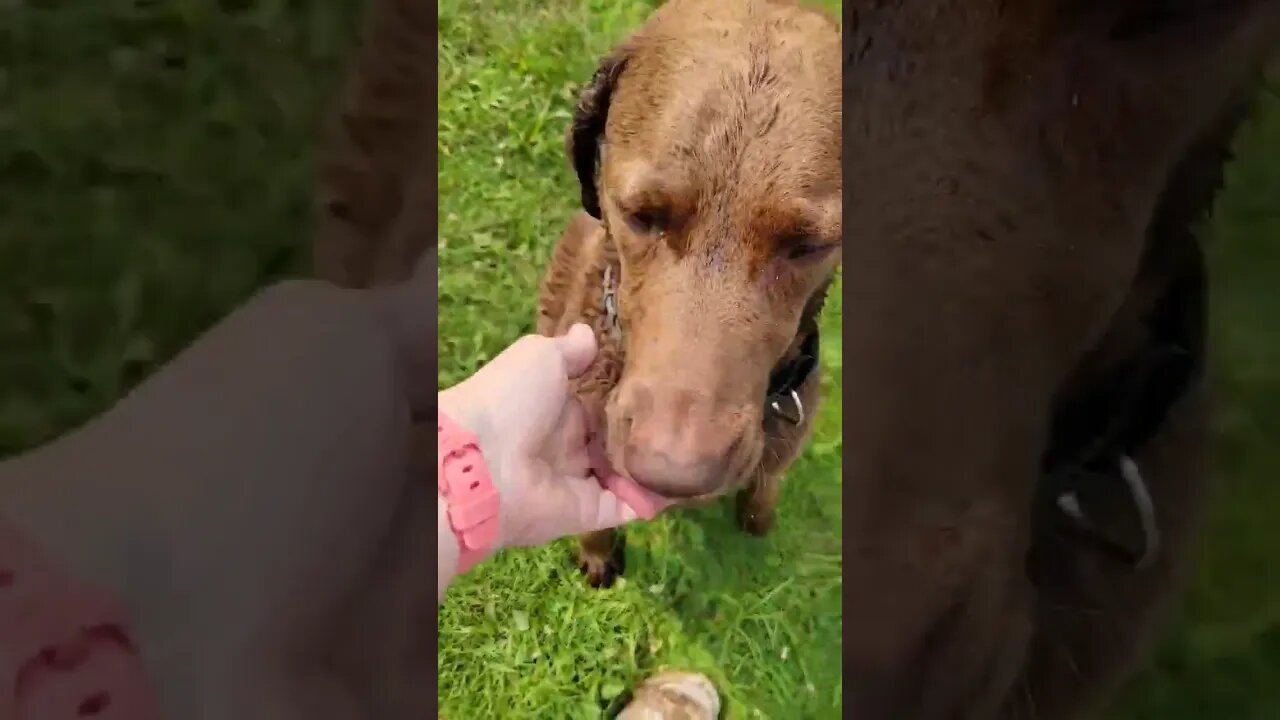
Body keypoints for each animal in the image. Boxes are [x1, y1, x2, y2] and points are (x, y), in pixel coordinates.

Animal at [535, 0, 844, 584]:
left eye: (808, 245)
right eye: (641, 216)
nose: (674, 474)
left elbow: (769, 480)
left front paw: (758, 518)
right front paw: (597, 556)